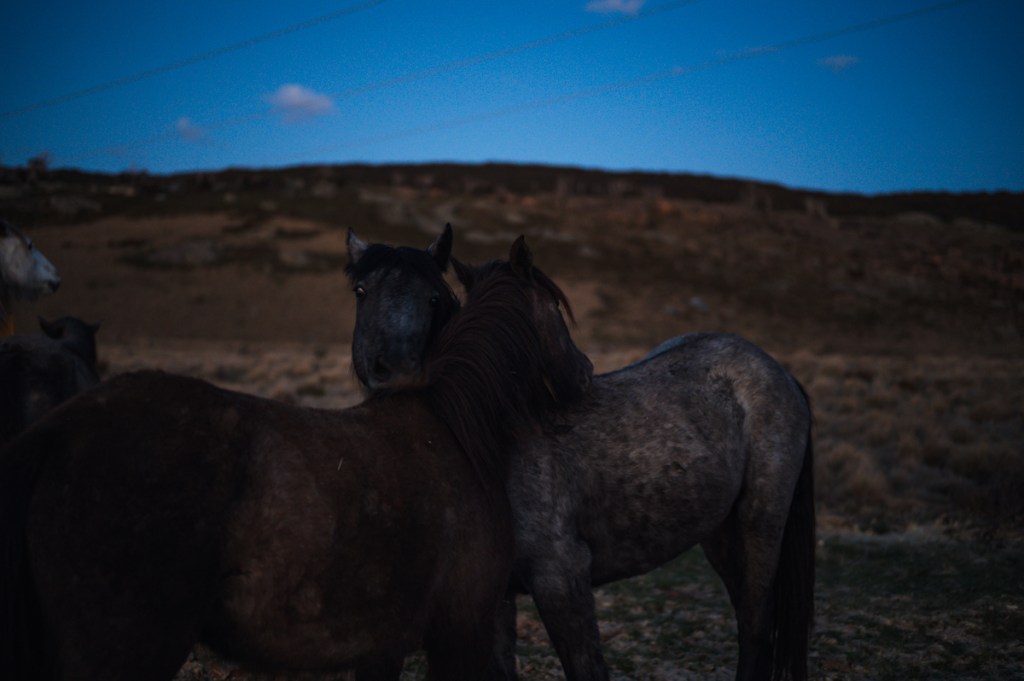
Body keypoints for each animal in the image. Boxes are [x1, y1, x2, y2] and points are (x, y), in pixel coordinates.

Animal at [348, 230, 815, 681]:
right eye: (361, 290)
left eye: (433, 296)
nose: (393, 368)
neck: (481, 441)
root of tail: (777, 368)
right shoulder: (491, 599)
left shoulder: (562, 579)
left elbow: (588, 669)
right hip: (720, 534)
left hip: (761, 524)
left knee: (755, 623)